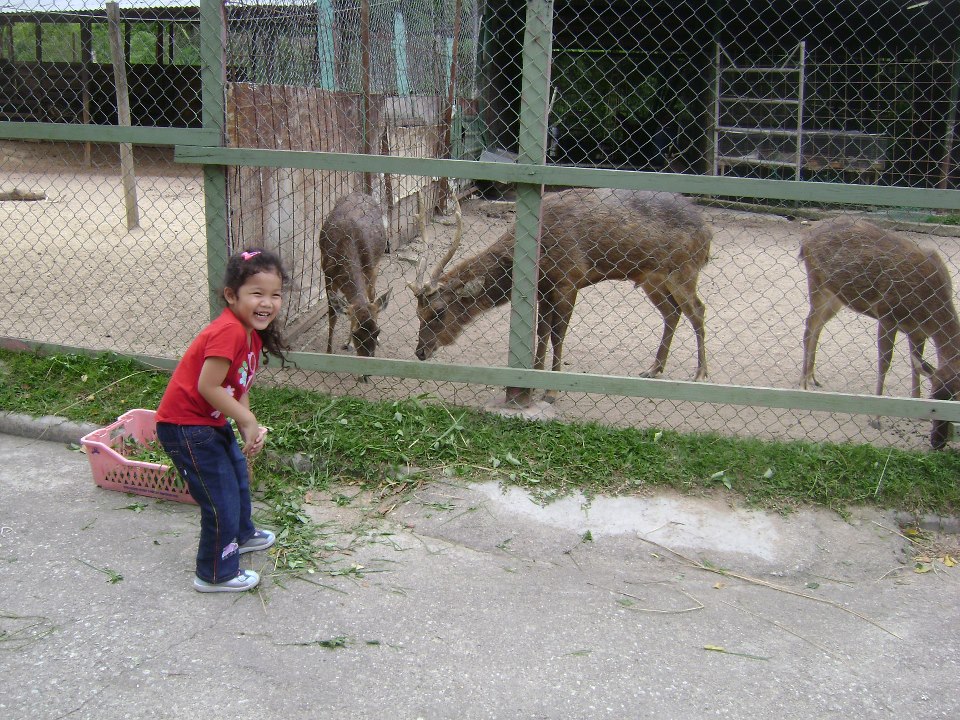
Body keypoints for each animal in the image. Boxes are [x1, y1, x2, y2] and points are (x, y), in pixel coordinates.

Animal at [318, 191, 391, 359]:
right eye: (357, 334)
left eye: (377, 332)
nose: (367, 357)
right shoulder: (327, 274)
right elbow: (333, 314)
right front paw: (329, 351)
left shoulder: (369, 269)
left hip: (376, 265)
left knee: (372, 295)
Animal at [409, 187, 712, 403]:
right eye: (418, 313)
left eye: (438, 311)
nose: (420, 351)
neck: (537, 257)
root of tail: (708, 232)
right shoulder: (544, 289)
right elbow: (541, 332)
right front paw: (532, 380)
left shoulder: (569, 281)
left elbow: (558, 335)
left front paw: (552, 391)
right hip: (652, 278)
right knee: (672, 312)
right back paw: (654, 369)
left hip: (684, 270)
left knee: (697, 310)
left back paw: (700, 374)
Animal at [799, 217, 960, 448]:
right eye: (933, 398)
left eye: (956, 400)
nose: (937, 442)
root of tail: (805, 235)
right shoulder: (887, 314)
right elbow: (885, 362)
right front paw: (875, 418)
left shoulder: (917, 332)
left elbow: (916, 366)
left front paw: (916, 409)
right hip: (817, 281)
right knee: (809, 326)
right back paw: (803, 382)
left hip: (836, 296)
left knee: (817, 327)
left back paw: (813, 378)